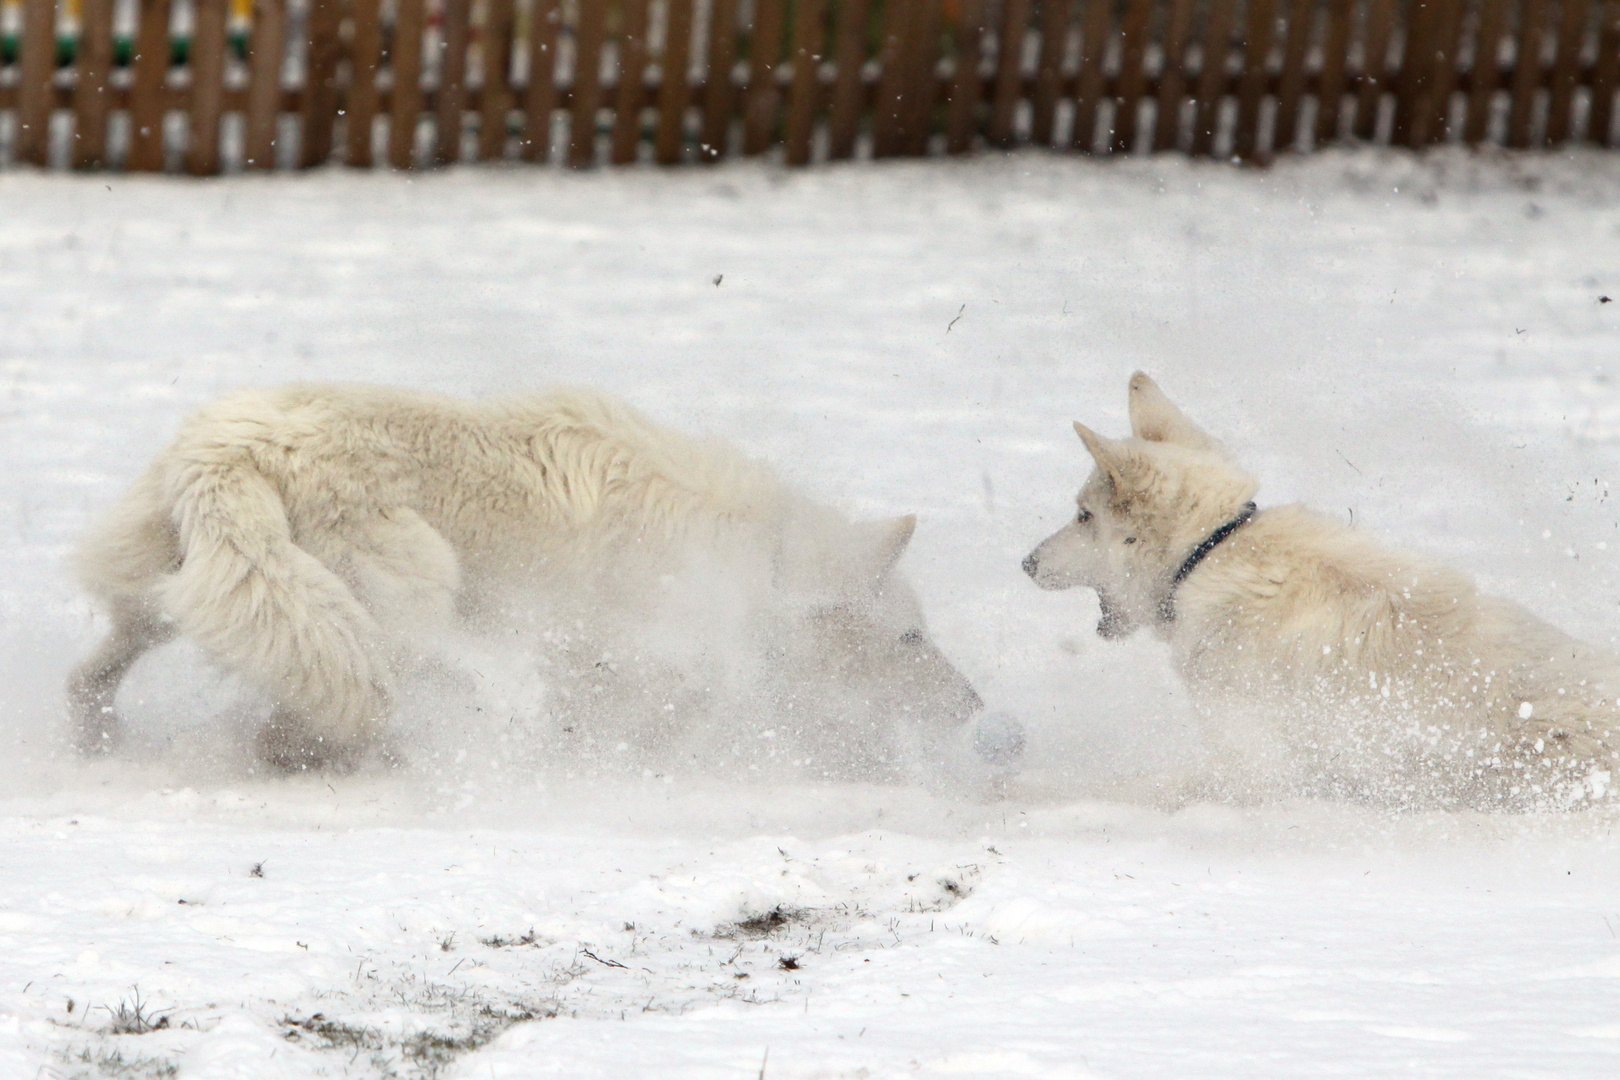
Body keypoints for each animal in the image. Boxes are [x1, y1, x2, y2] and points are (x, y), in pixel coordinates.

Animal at [69, 383, 978, 773]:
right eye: (911, 639)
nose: (973, 708)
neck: (757, 554)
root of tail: (228, 451)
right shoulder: (635, 648)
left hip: (189, 597)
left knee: (94, 675)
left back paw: (99, 743)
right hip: (404, 600)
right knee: (332, 709)